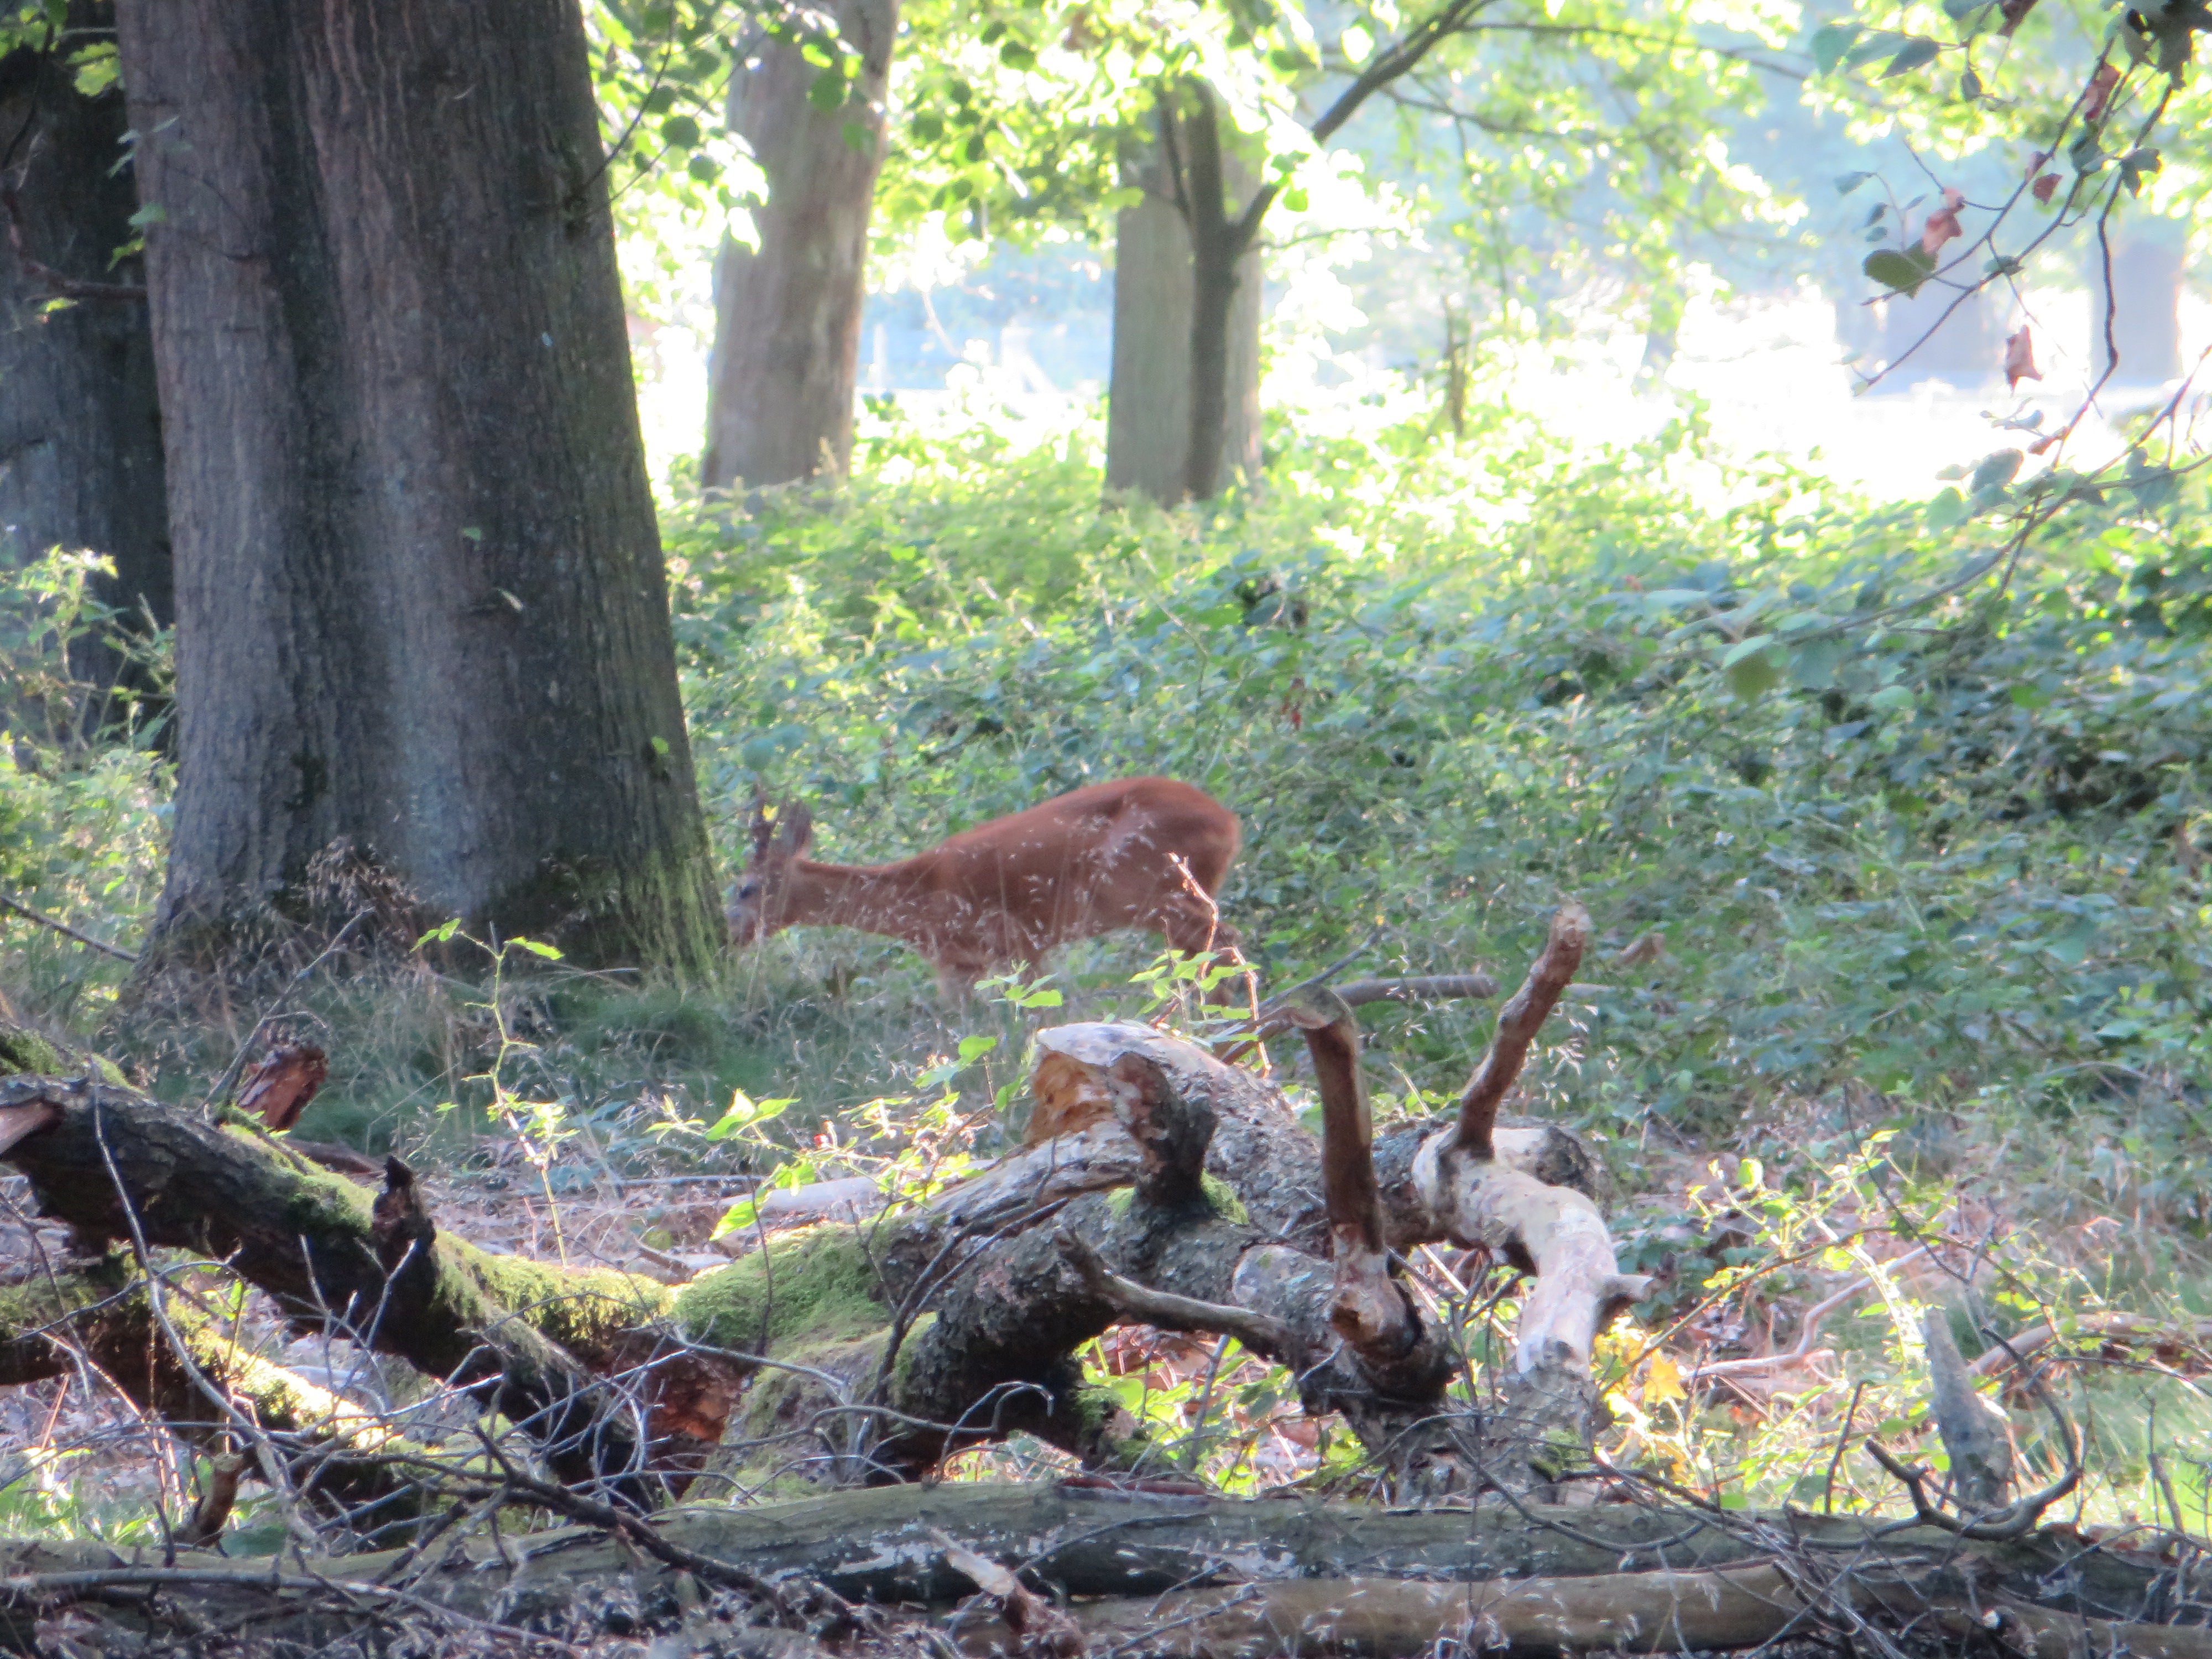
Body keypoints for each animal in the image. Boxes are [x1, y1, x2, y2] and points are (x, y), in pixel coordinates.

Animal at [727, 776, 1250, 1002]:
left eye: (744, 889)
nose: (729, 936)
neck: (916, 900)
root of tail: (1228, 820)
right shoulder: (959, 964)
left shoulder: (1016, 938)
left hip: (1146, 887)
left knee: (1224, 941)